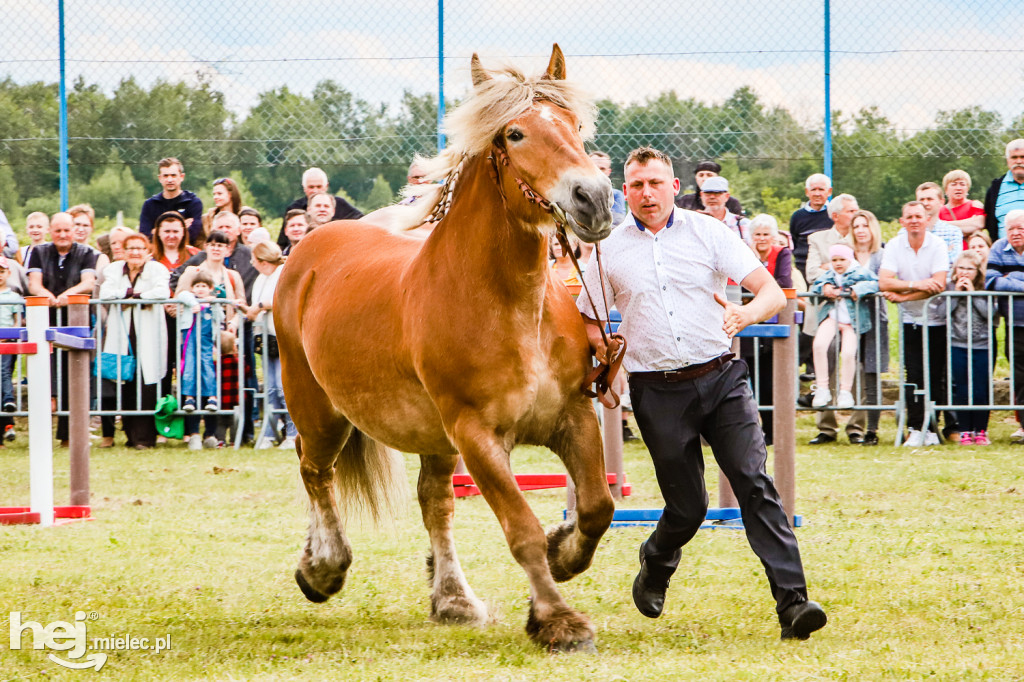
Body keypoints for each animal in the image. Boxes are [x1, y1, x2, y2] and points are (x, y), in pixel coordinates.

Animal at [276, 45, 614, 651]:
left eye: (575, 126)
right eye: (515, 133)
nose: (593, 198)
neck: (508, 304)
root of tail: (312, 246)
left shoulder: (573, 416)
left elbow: (598, 506)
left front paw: (565, 552)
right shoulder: (477, 435)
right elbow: (521, 529)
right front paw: (558, 620)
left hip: (431, 438)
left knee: (433, 501)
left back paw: (453, 599)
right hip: (320, 410)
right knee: (314, 470)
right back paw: (323, 567)